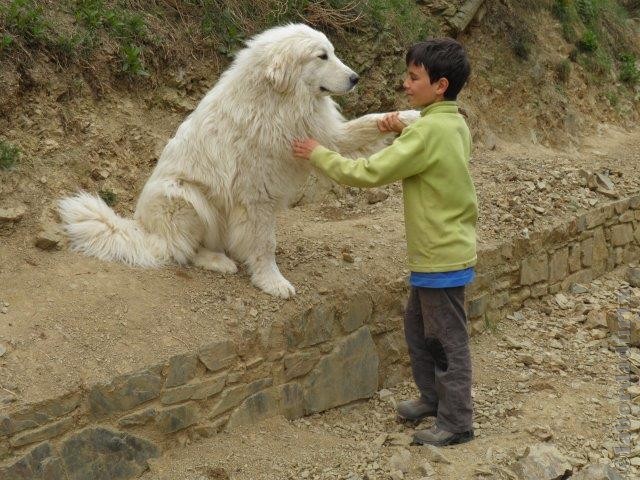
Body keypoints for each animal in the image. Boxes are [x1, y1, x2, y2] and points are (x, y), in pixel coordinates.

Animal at [60, 25, 420, 300]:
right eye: (322, 56)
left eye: (332, 52)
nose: (356, 78)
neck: (278, 101)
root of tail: (143, 230)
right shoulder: (256, 194)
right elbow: (265, 243)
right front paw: (272, 282)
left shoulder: (326, 137)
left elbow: (366, 124)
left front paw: (406, 117)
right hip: (185, 196)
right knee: (181, 251)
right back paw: (218, 261)